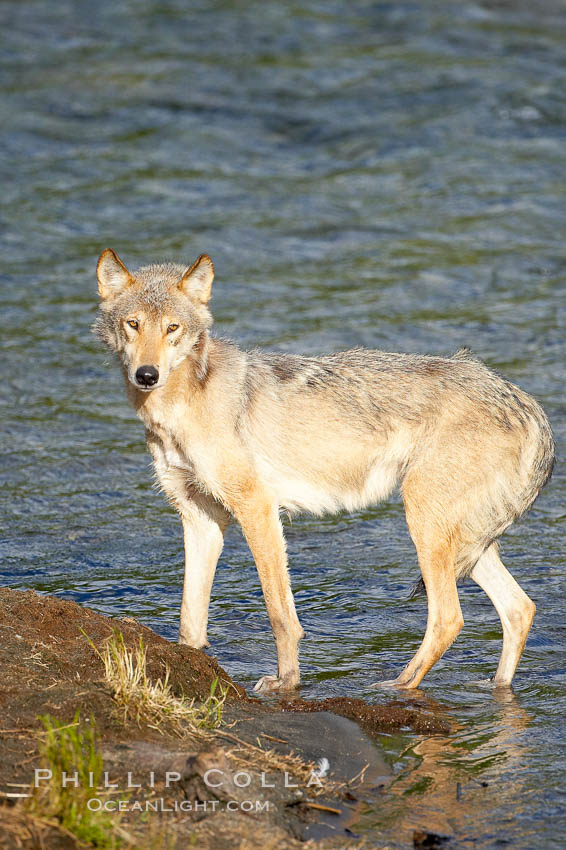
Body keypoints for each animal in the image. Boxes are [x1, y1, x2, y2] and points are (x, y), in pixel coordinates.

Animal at [93, 250, 556, 688]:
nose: (147, 374)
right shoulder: (200, 518)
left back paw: (396, 686)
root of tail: (526, 403)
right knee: (520, 608)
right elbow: (190, 619)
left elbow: (279, 613)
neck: (178, 408)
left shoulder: (258, 510)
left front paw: (286, 682)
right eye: (134, 324)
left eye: (172, 328)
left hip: (426, 524)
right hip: (463, 542)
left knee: (449, 618)